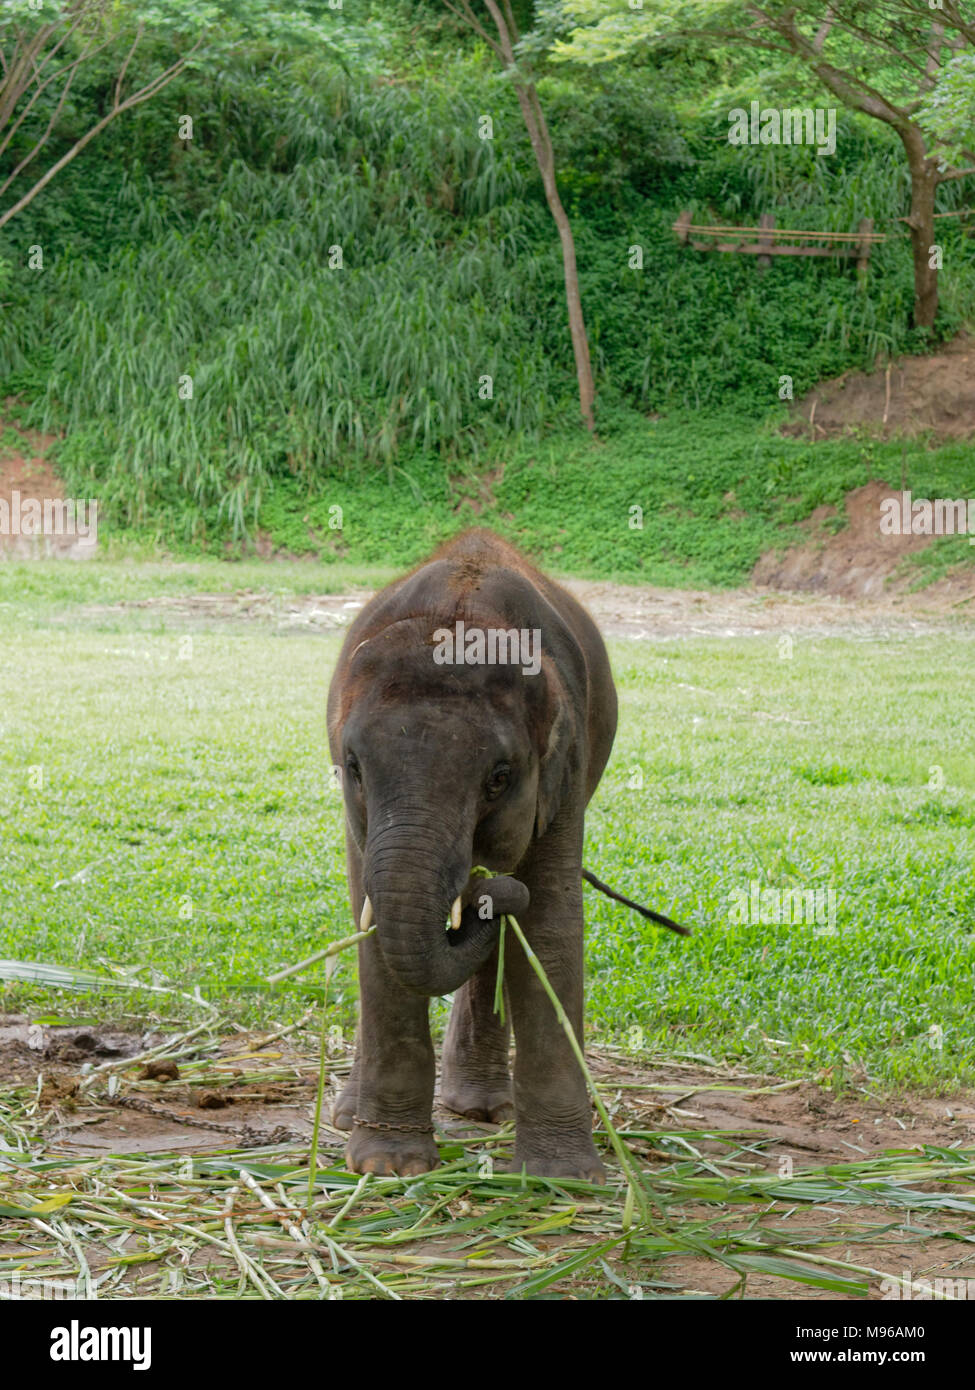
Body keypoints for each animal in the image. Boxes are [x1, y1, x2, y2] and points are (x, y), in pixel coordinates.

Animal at [326, 525, 614, 1178]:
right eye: (353, 767)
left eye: (499, 778)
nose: (485, 887)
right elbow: (370, 922)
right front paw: (388, 1167)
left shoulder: (566, 769)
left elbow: (551, 925)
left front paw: (564, 1178)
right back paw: (349, 1115)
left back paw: (483, 1110)